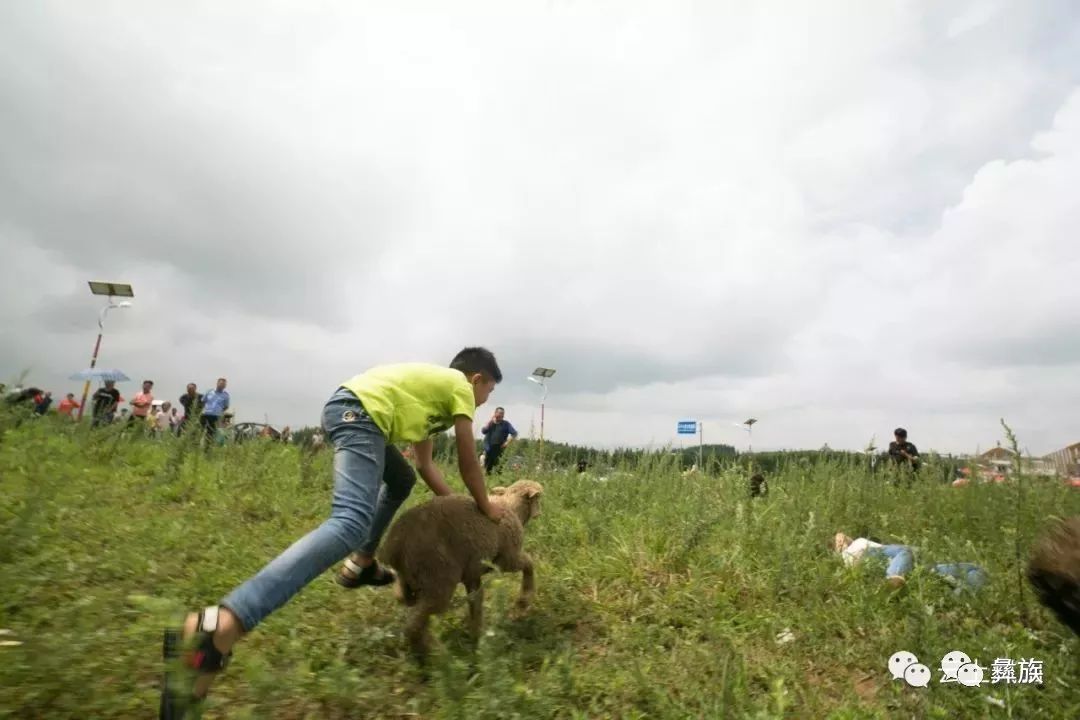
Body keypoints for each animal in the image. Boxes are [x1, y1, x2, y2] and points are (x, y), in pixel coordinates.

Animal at [375, 481, 544, 660]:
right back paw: (439, 655)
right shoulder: (507, 559)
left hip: (412, 579)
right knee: (414, 623)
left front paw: (477, 636)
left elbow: (476, 600)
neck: (511, 508)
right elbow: (529, 563)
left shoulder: (472, 575)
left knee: (406, 602)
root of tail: (393, 546)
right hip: (438, 578)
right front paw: (523, 602)